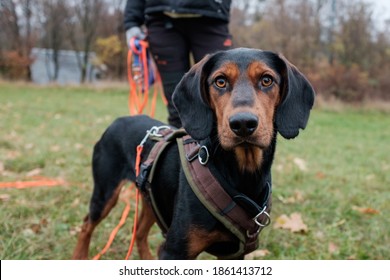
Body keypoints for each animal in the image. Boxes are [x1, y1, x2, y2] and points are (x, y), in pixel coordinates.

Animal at [73, 47, 316, 260]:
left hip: (152, 198)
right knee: (86, 225)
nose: (243, 124)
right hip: (105, 193)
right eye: (220, 81)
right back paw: (80, 257)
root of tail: (119, 120)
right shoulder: (175, 251)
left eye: (267, 80)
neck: (241, 175)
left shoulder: (232, 254)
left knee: (140, 233)